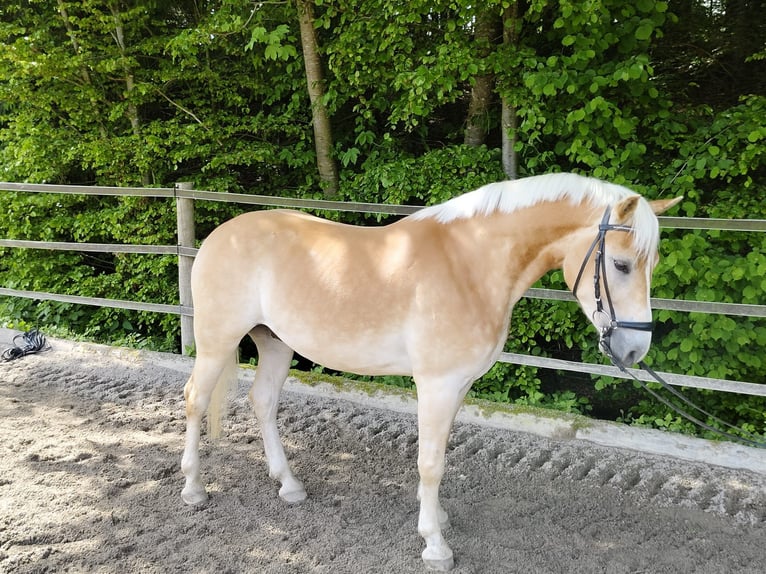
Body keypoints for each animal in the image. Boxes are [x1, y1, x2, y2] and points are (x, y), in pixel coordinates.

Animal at [182, 173, 684, 572]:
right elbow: (430, 463)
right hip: (217, 342)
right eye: (620, 264)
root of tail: (219, 235)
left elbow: (440, 457)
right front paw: (435, 546)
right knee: (195, 400)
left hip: (275, 343)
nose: (635, 349)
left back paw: (289, 486)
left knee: (263, 402)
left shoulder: (458, 385)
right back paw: (193, 490)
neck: (469, 268)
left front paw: (437, 519)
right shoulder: (436, 385)